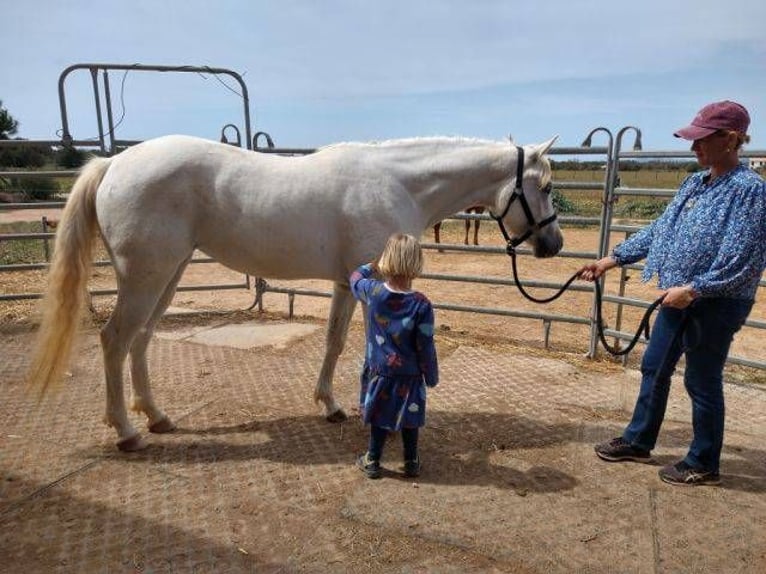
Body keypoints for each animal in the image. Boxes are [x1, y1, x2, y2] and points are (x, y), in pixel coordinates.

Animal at [25, 134, 564, 450]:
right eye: (545, 186)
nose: (553, 245)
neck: (399, 182)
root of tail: (114, 163)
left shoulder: (347, 281)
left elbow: (334, 342)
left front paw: (330, 405)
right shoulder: (373, 281)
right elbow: (364, 351)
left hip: (168, 274)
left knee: (140, 339)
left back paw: (157, 417)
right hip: (146, 276)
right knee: (115, 340)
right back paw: (127, 431)